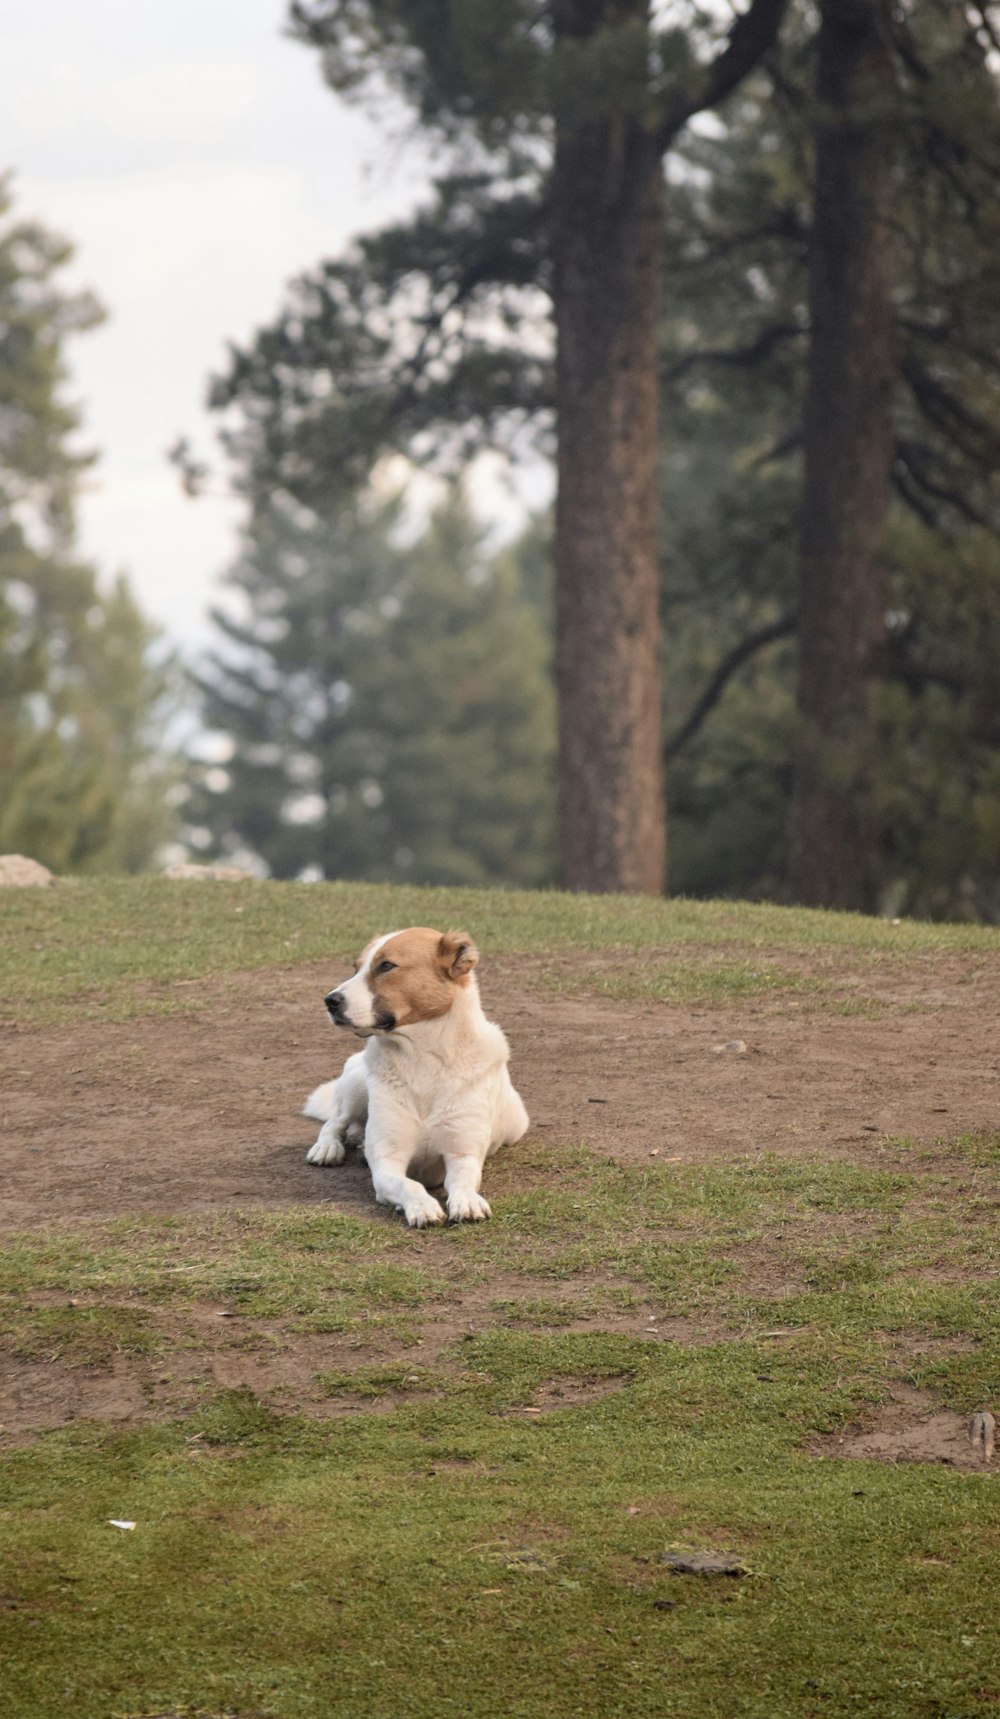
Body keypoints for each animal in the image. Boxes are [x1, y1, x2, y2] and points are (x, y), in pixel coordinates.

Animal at [302, 935, 529, 1230]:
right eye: (355, 968)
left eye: (386, 966)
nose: (329, 1000)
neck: (422, 1059)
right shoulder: (388, 1162)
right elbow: (408, 1185)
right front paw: (422, 1206)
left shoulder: (462, 1154)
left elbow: (462, 1182)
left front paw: (467, 1201)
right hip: (355, 1086)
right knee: (334, 1122)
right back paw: (329, 1147)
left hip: (517, 1125)